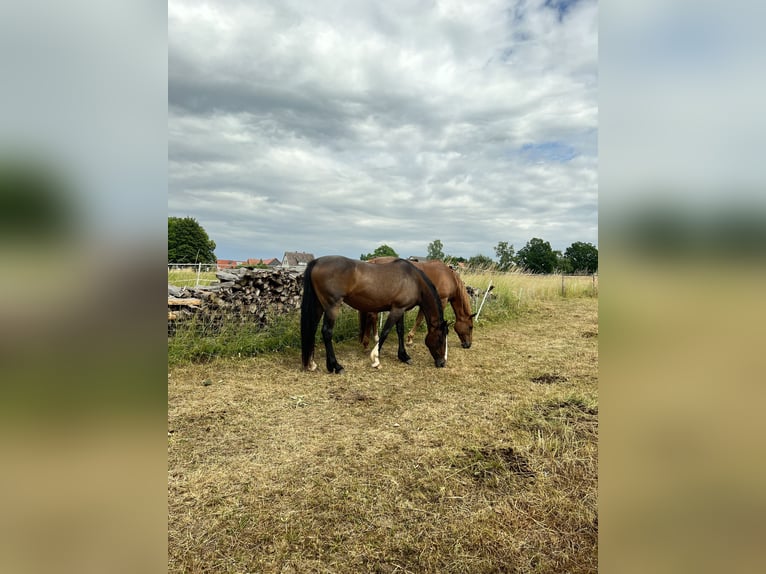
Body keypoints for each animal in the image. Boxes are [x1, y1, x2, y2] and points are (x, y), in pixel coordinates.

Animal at [301, 256, 449, 373]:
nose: (442, 363)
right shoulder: (397, 310)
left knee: (312, 330)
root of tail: (317, 261)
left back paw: (312, 364)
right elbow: (385, 332)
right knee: (327, 332)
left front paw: (404, 356)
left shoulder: (400, 309)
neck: (414, 280)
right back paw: (336, 366)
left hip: (319, 306)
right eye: (441, 339)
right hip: (332, 306)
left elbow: (400, 331)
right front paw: (376, 360)